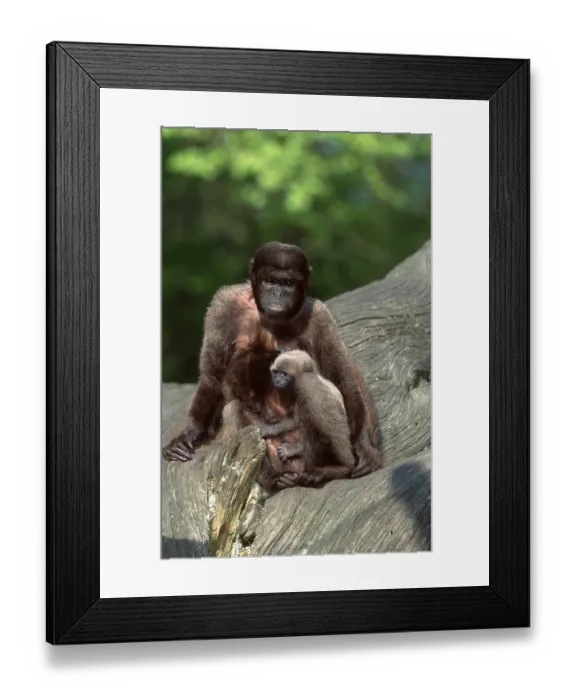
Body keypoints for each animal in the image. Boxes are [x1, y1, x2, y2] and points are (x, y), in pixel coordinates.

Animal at [162, 241, 382, 480]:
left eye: (287, 283)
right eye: (270, 281)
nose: (277, 293)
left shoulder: (319, 314)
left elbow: (341, 375)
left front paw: (363, 444)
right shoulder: (223, 305)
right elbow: (213, 375)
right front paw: (191, 431)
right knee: (235, 409)